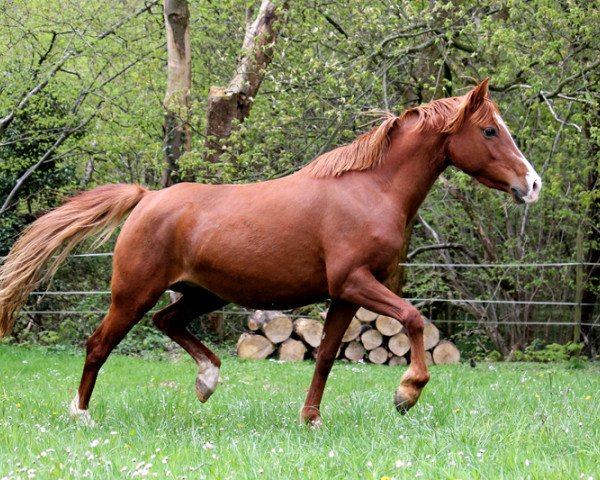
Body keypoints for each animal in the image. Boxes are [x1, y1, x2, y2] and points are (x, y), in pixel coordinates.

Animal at [0, 80, 540, 426]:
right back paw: (82, 415)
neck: (371, 189)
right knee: (99, 344)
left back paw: (207, 380)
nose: (531, 185)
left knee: (167, 322)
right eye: (490, 130)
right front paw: (406, 393)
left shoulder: (345, 295)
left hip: (205, 294)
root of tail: (148, 198)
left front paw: (311, 420)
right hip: (133, 293)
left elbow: (326, 357)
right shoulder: (356, 282)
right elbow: (411, 319)